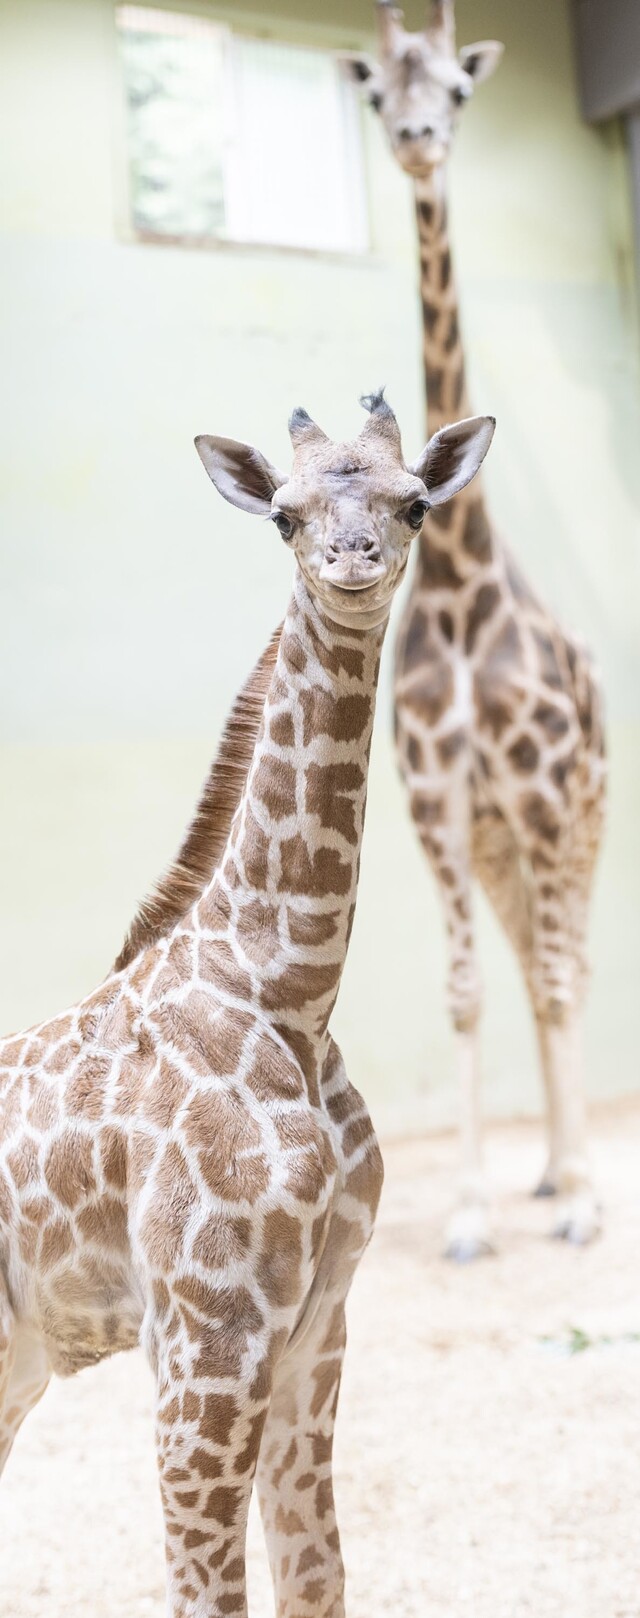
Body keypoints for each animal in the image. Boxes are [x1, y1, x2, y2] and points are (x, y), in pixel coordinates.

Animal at [0, 394, 494, 1618]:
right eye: (285, 515)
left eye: (414, 502)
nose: (353, 562)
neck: (291, 990)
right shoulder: (205, 1345)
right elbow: (209, 1595)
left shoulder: (319, 1327)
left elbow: (318, 1576)